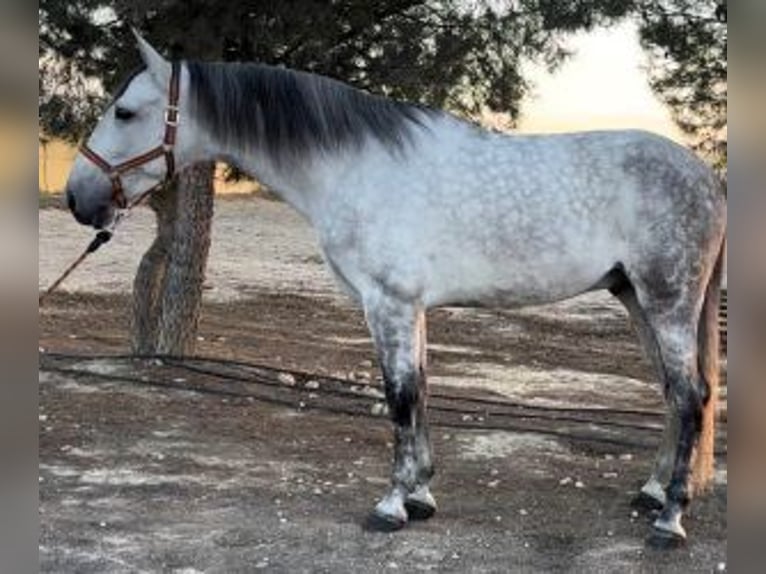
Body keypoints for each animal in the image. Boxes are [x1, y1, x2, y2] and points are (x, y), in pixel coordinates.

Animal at [64, 32, 726, 545]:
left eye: (125, 112)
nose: (77, 198)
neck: (355, 166)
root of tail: (706, 177)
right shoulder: (411, 309)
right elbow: (422, 390)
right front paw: (421, 495)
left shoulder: (388, 304)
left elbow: (400, 396)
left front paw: (390, 507)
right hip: (636, 298)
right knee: (674, 393)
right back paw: (652, 492)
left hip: (667, 301)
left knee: (691, 396)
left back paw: (669, 520)